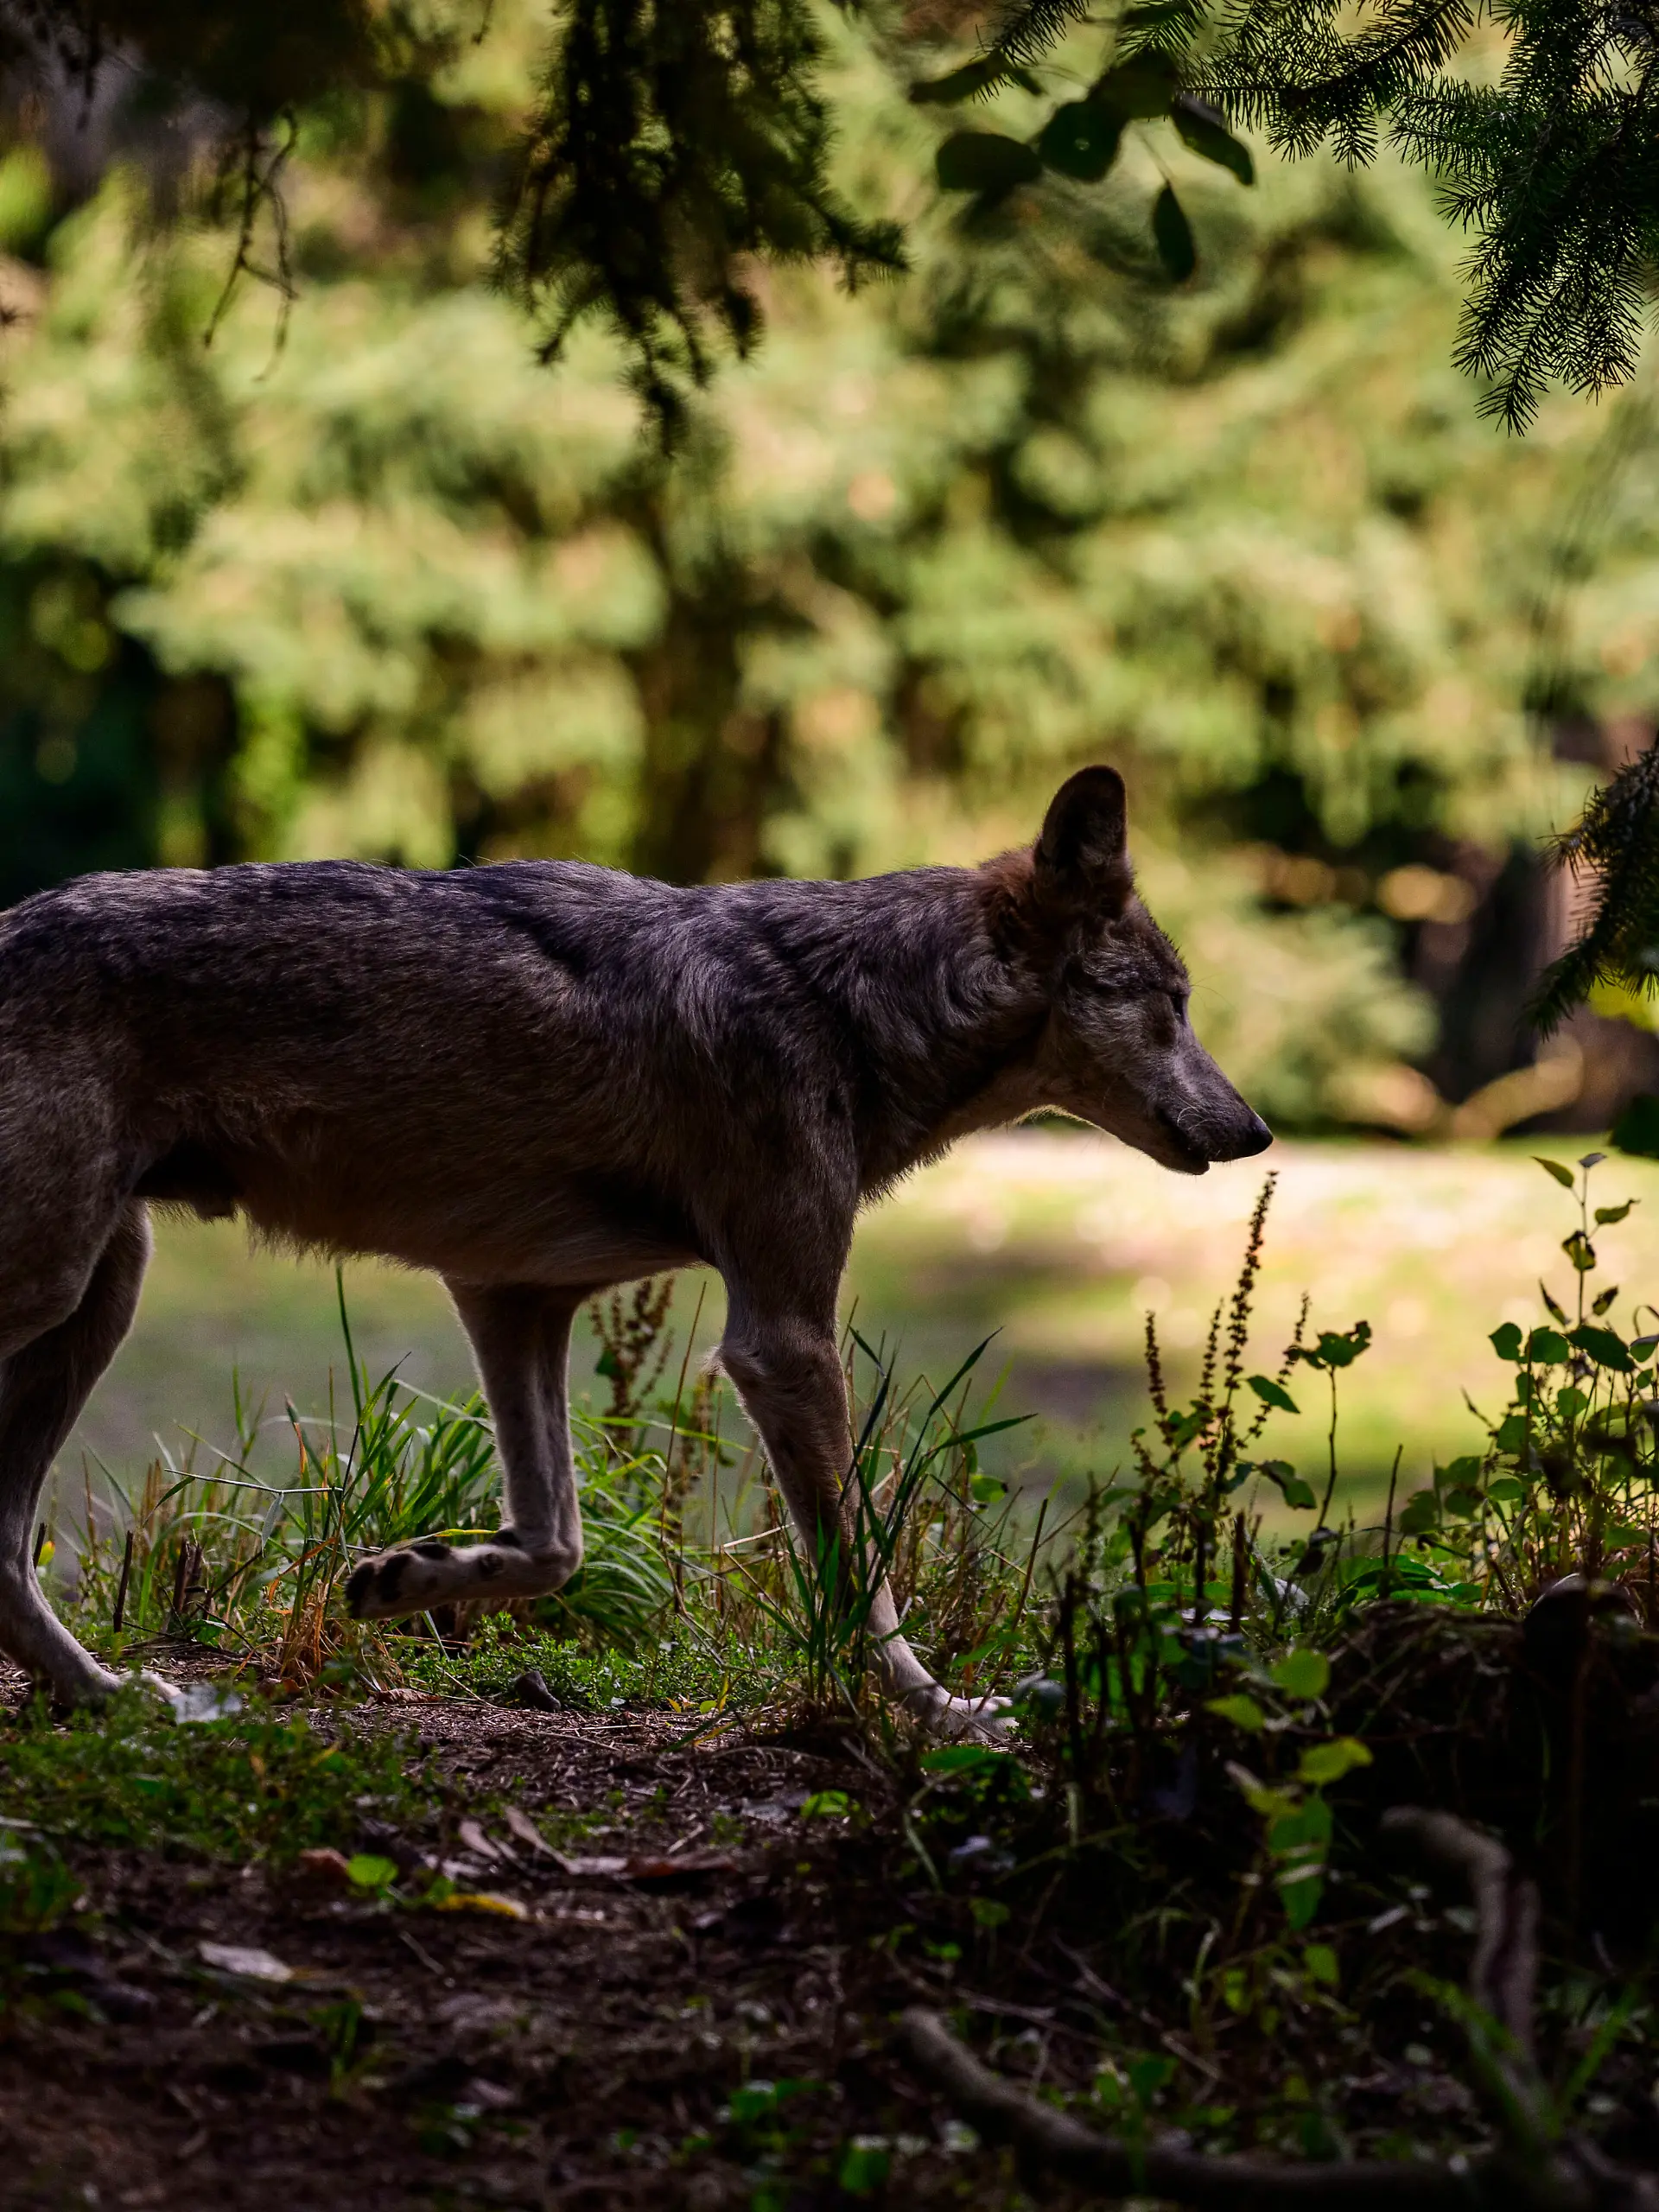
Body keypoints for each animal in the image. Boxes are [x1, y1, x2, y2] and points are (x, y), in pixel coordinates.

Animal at [0, 764, 1267, 1729]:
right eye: (1172, 1001)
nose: (1258, 1131)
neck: (847, 1007)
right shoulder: (781, 1344)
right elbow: (859, 1583)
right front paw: (945, 1715)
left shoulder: (511, 1297)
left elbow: (554, 1543)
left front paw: (412, 1576)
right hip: (59, 1287)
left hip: (99, 1297)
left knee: (3, 1549)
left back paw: (109, 1698)